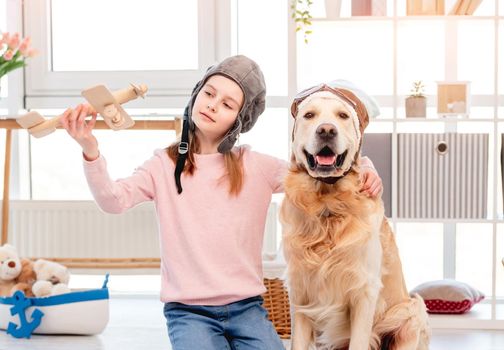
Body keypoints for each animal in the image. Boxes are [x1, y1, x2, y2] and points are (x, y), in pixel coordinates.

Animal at [280, 83, 430, 348]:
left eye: (342, 115)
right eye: (309, 115)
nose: (326, 130)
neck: (328, 205)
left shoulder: (364, 292)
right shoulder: (300, 292)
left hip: (412, 310)